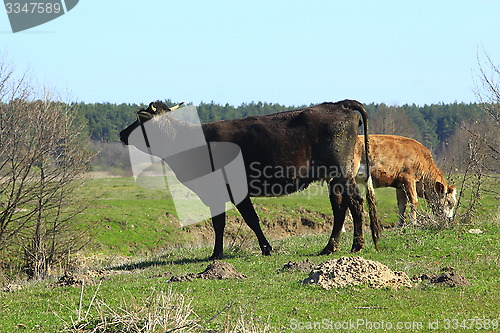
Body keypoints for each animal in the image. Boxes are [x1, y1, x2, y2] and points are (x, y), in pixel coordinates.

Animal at [120, 100, 378, 258]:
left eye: (139, 121)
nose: (122, 133)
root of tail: (338, 104)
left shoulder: (226, 190)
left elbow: (244, 220)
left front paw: (260, 249)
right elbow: (226, 222)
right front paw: (220, 252)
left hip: (342, 173)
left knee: (355, 202)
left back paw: (357, 245)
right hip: (333, 178)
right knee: (340, 207)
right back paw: (330, 247)